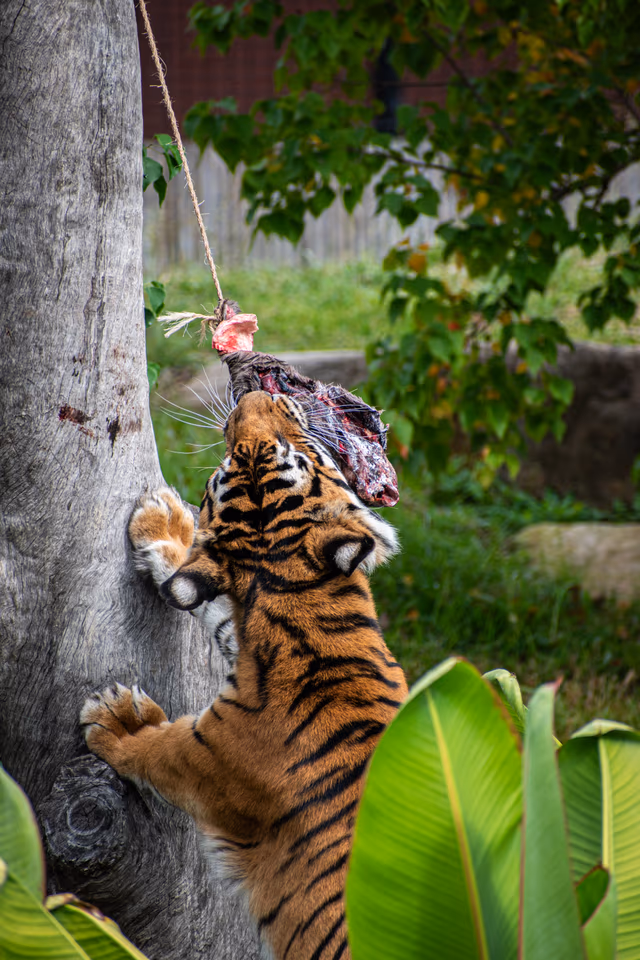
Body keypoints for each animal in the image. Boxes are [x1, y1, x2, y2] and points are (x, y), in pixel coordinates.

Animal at [81, 389, 408, 960]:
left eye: (302, 454)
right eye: (234, 462)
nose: (259, 394)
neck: (302, 606)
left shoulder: (209, 761)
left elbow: (152, 750)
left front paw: (118, 720)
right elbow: (204, 599)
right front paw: (164, 524)